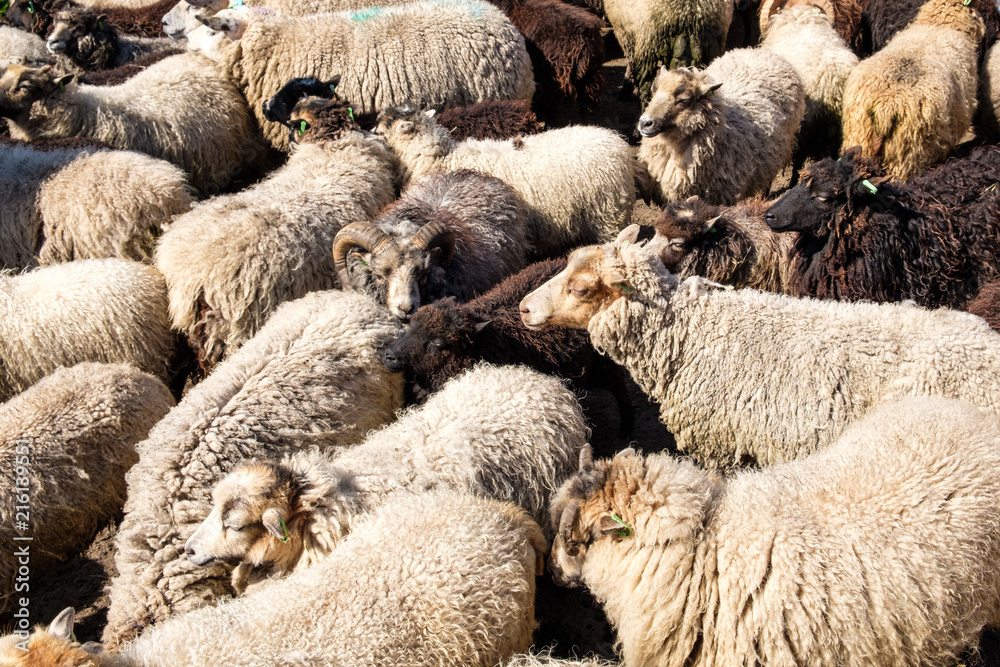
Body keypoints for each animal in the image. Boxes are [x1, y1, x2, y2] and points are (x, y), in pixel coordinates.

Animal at [382, 259, 635, 434]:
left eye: (438, 343)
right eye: (411, 324)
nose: (389, 356)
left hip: (603, 362)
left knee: (620, 388)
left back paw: (626, 430)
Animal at [602, 0, 733, 102]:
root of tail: (692, 13)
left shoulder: (624, 33)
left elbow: (631, 65)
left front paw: (625, 91)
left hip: (647, 41)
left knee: (645, 83)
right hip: (715, 41)